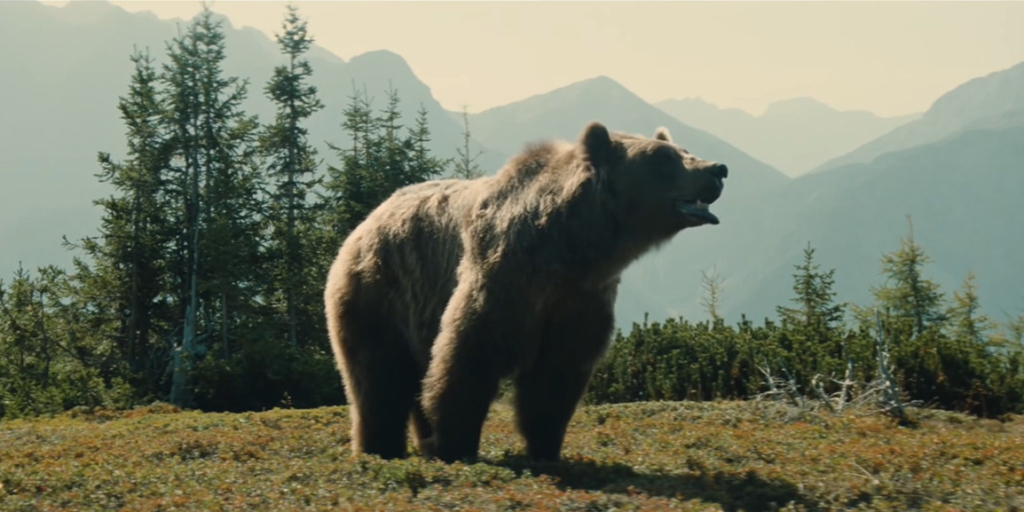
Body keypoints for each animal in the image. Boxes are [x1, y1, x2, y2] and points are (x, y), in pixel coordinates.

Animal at [324, 121, 728, 463]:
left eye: (684, 149)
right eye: (663, 158)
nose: (718, 169)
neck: (573, 247)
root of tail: (368, 219)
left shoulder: (579, 299)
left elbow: (556, 374)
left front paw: (545, 448)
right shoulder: (505, 278)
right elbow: (469, 356)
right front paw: (456, 444)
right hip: (378, 294)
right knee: (378, 378)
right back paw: (380, 448)